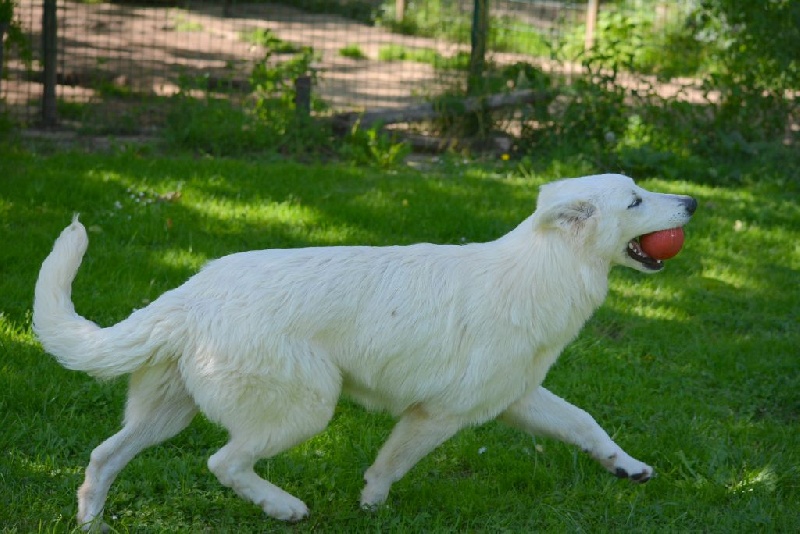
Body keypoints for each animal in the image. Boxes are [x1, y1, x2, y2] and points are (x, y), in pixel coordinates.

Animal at [34, 174, 692, 528]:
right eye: (635, 200)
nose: (693, 205)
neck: (543, 270)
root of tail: (189, 296)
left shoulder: (517, 398)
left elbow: (586, 425)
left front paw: (628, 468)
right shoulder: (438, 416)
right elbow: (389, 466)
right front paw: (372, 507)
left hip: (168, 413)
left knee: (102, 457)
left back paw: (91, 523)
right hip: (307, 407)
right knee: (224, 463)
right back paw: (284, 508)